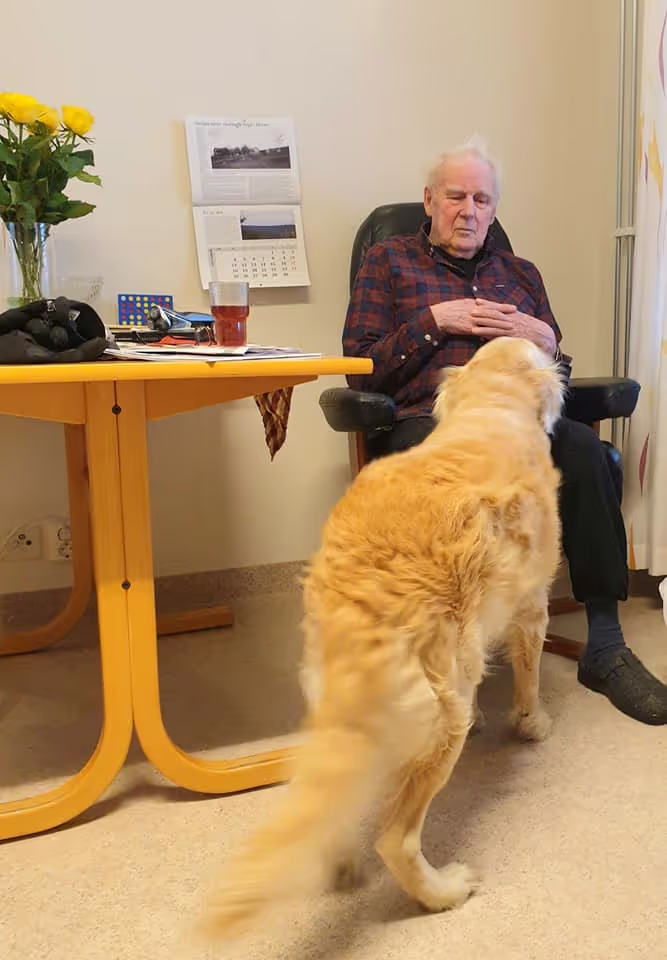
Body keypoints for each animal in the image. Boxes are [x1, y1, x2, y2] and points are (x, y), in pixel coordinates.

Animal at [206, 336, 564, 937]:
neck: (492, 406)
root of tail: (363, 602)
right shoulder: (532, 602)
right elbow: (529, 672)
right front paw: (531, 722)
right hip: (440, 720)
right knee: (395, 840)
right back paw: (443, 891)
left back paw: (340, 861)